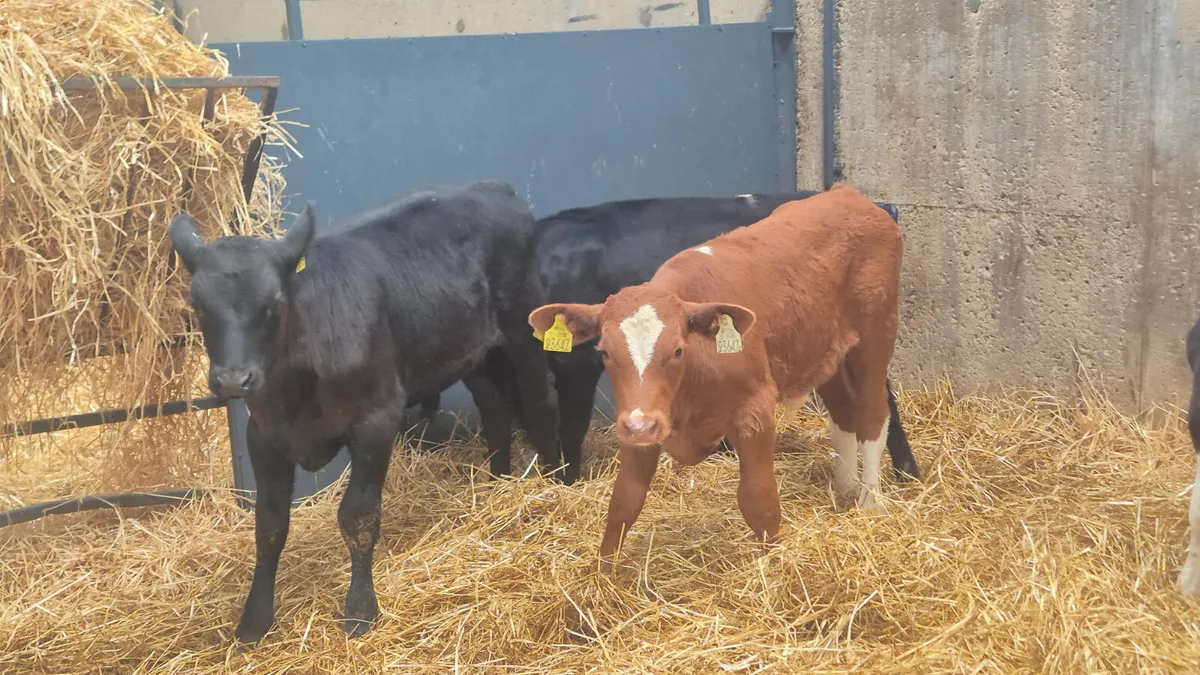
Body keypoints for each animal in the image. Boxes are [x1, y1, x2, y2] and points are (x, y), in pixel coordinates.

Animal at [168, 180, 561, 643]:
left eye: (273, 301)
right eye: (198, 305)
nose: (233, 380)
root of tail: (493, 188)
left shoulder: (375, 420)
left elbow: (357, 515)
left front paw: (359, 610)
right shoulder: (263, 435)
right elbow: (269, 526)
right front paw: (254, 619)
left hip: (525, 326)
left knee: (541, 398)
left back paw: (559, 480)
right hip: (471, 350)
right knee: (495, 410)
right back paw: (497, 483)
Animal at [411, 192, 920, 486]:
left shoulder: (575, 364)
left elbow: (569, 423)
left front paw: (567, 481)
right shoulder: (485, 377)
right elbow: (496, 422)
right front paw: (501, 479)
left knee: (882, 398)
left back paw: (907, 471)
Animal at [528, 184, 904, 571]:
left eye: (678, 350)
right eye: (603, 351)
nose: (641, 426)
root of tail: (848, 193)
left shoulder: (755, 412)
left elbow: (759, 499)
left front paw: (773, 564)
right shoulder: (640, 417)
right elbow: (623, 502)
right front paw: (603, 575)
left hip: (875, 337)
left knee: (873, 415)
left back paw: (870, 502)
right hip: (827, 351)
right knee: (842, 415)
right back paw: (844, 488)